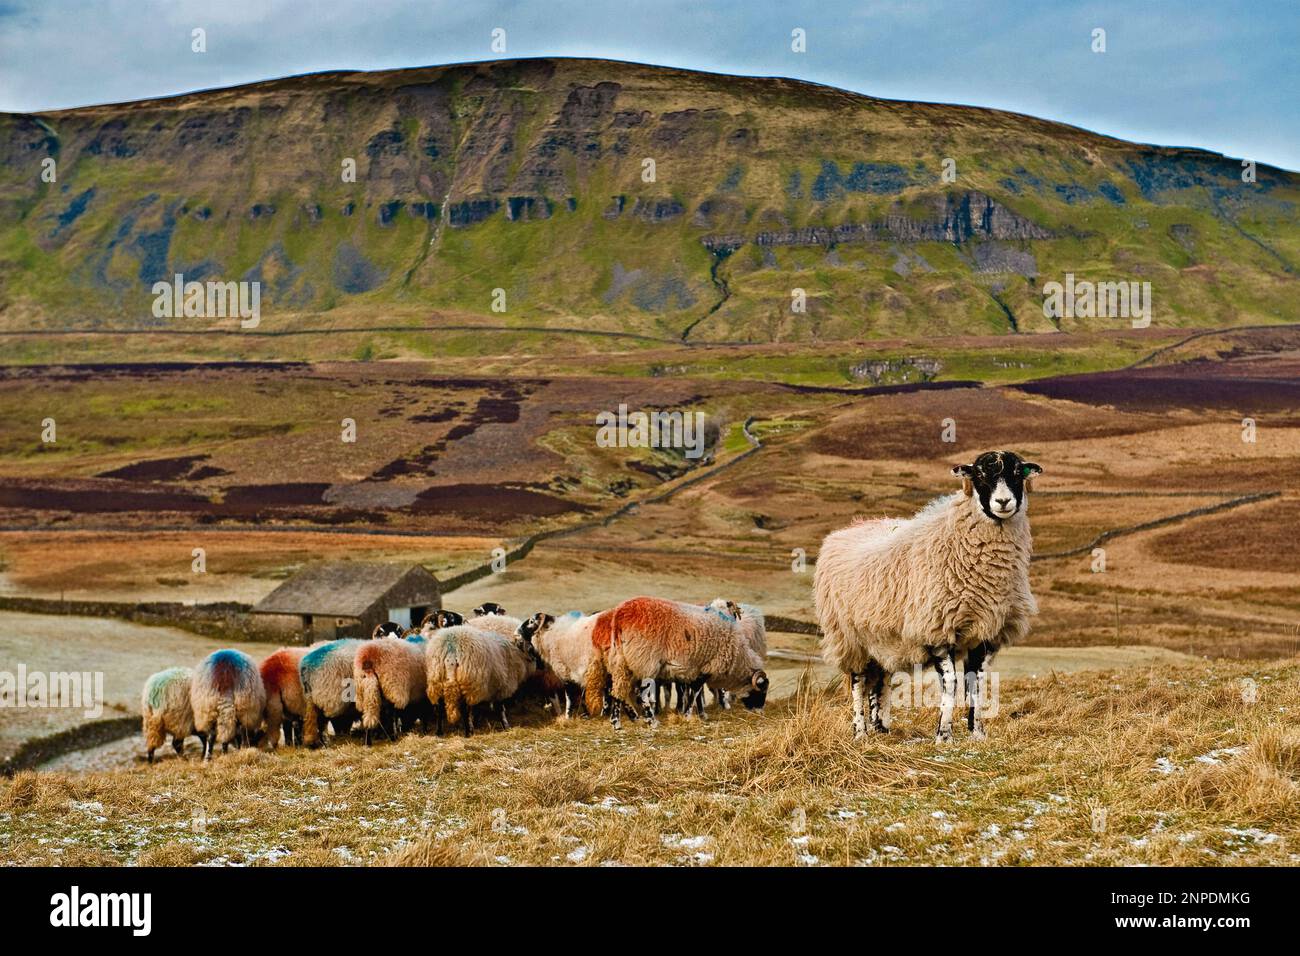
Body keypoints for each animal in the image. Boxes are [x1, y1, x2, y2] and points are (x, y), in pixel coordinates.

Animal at [595, 597, 769, 729]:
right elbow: (696, 692)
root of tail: (619, 615)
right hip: (644, 660)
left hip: (620, 661)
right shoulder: (707, 666)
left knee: (617, 691)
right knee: (641, 694)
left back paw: (616, 722)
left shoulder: (696, 668)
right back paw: (652, 721)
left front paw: (700, 714)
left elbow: (695, 693)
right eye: (762, 690)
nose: (761, 711)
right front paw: (688, 715)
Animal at [813, 450, 1041, 743]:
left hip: (880, 636)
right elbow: (951, 683)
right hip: (849, 637)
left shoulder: (984, 631)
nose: (1003, 502)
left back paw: (882, 730)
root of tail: (846, 530)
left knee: (881, 681)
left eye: (1017, 472)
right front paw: (944, 735)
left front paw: (977, 733)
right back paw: (860, 732)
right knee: (857, 682)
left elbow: (976, 683)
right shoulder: (937, 629)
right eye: (979, 474)